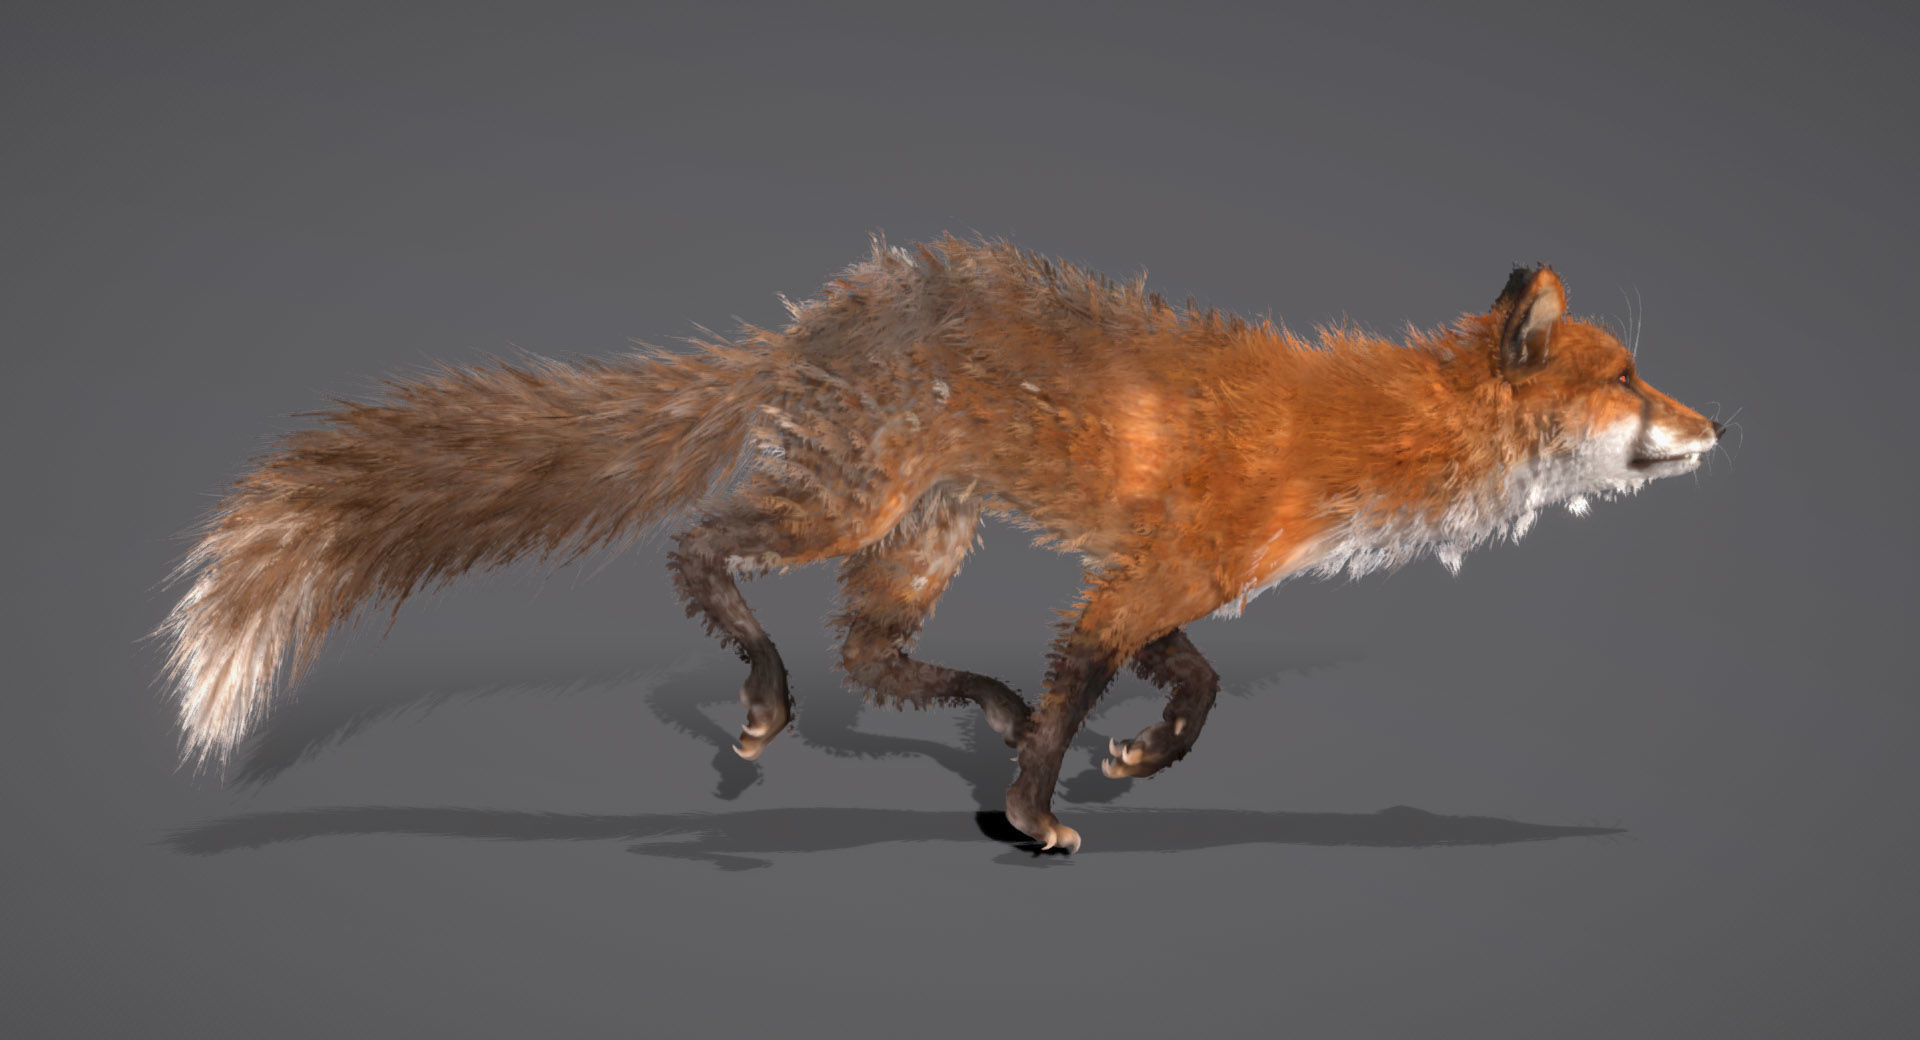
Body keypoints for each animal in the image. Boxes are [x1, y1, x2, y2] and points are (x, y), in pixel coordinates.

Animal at [156, 233, 1723, 852]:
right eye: (1631, 379)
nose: (1719, 427)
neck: (1346, 437)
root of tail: (813, 319)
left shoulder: (1155, 577)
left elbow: (1193, 683)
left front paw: (1131, 756)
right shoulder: (1150, 574)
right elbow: (1104, 686)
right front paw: (1035, 815)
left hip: (927, 531)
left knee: (871, 648)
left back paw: (961, 697)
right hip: (846, 504)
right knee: (704, 552)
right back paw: (765, 696)